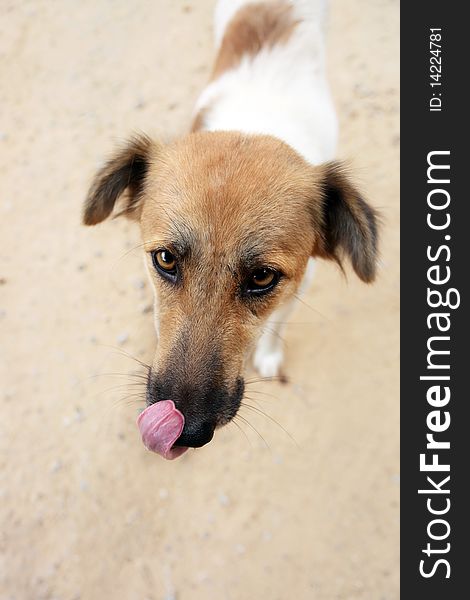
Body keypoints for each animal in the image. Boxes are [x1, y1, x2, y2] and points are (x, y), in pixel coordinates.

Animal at [83, 0, 378, 458]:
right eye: (165, 259)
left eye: (262, 277)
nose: (186, 432)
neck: (252, 123)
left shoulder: (299, 285)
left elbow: (278, 324)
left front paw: (269, 354)